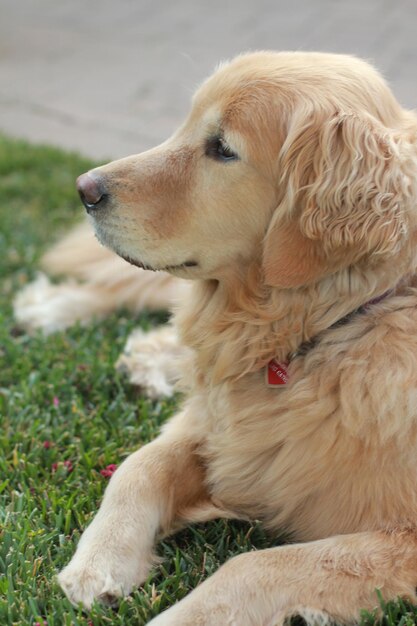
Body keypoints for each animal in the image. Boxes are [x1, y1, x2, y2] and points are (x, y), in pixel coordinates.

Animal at [26, 51, 417, 620]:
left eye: (222, 148)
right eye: (188, 124)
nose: (85, 189)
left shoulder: (400, 538)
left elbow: (252, 565)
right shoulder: (215, 426)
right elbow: (138, 466)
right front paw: (99, 562)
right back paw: (52, 311)